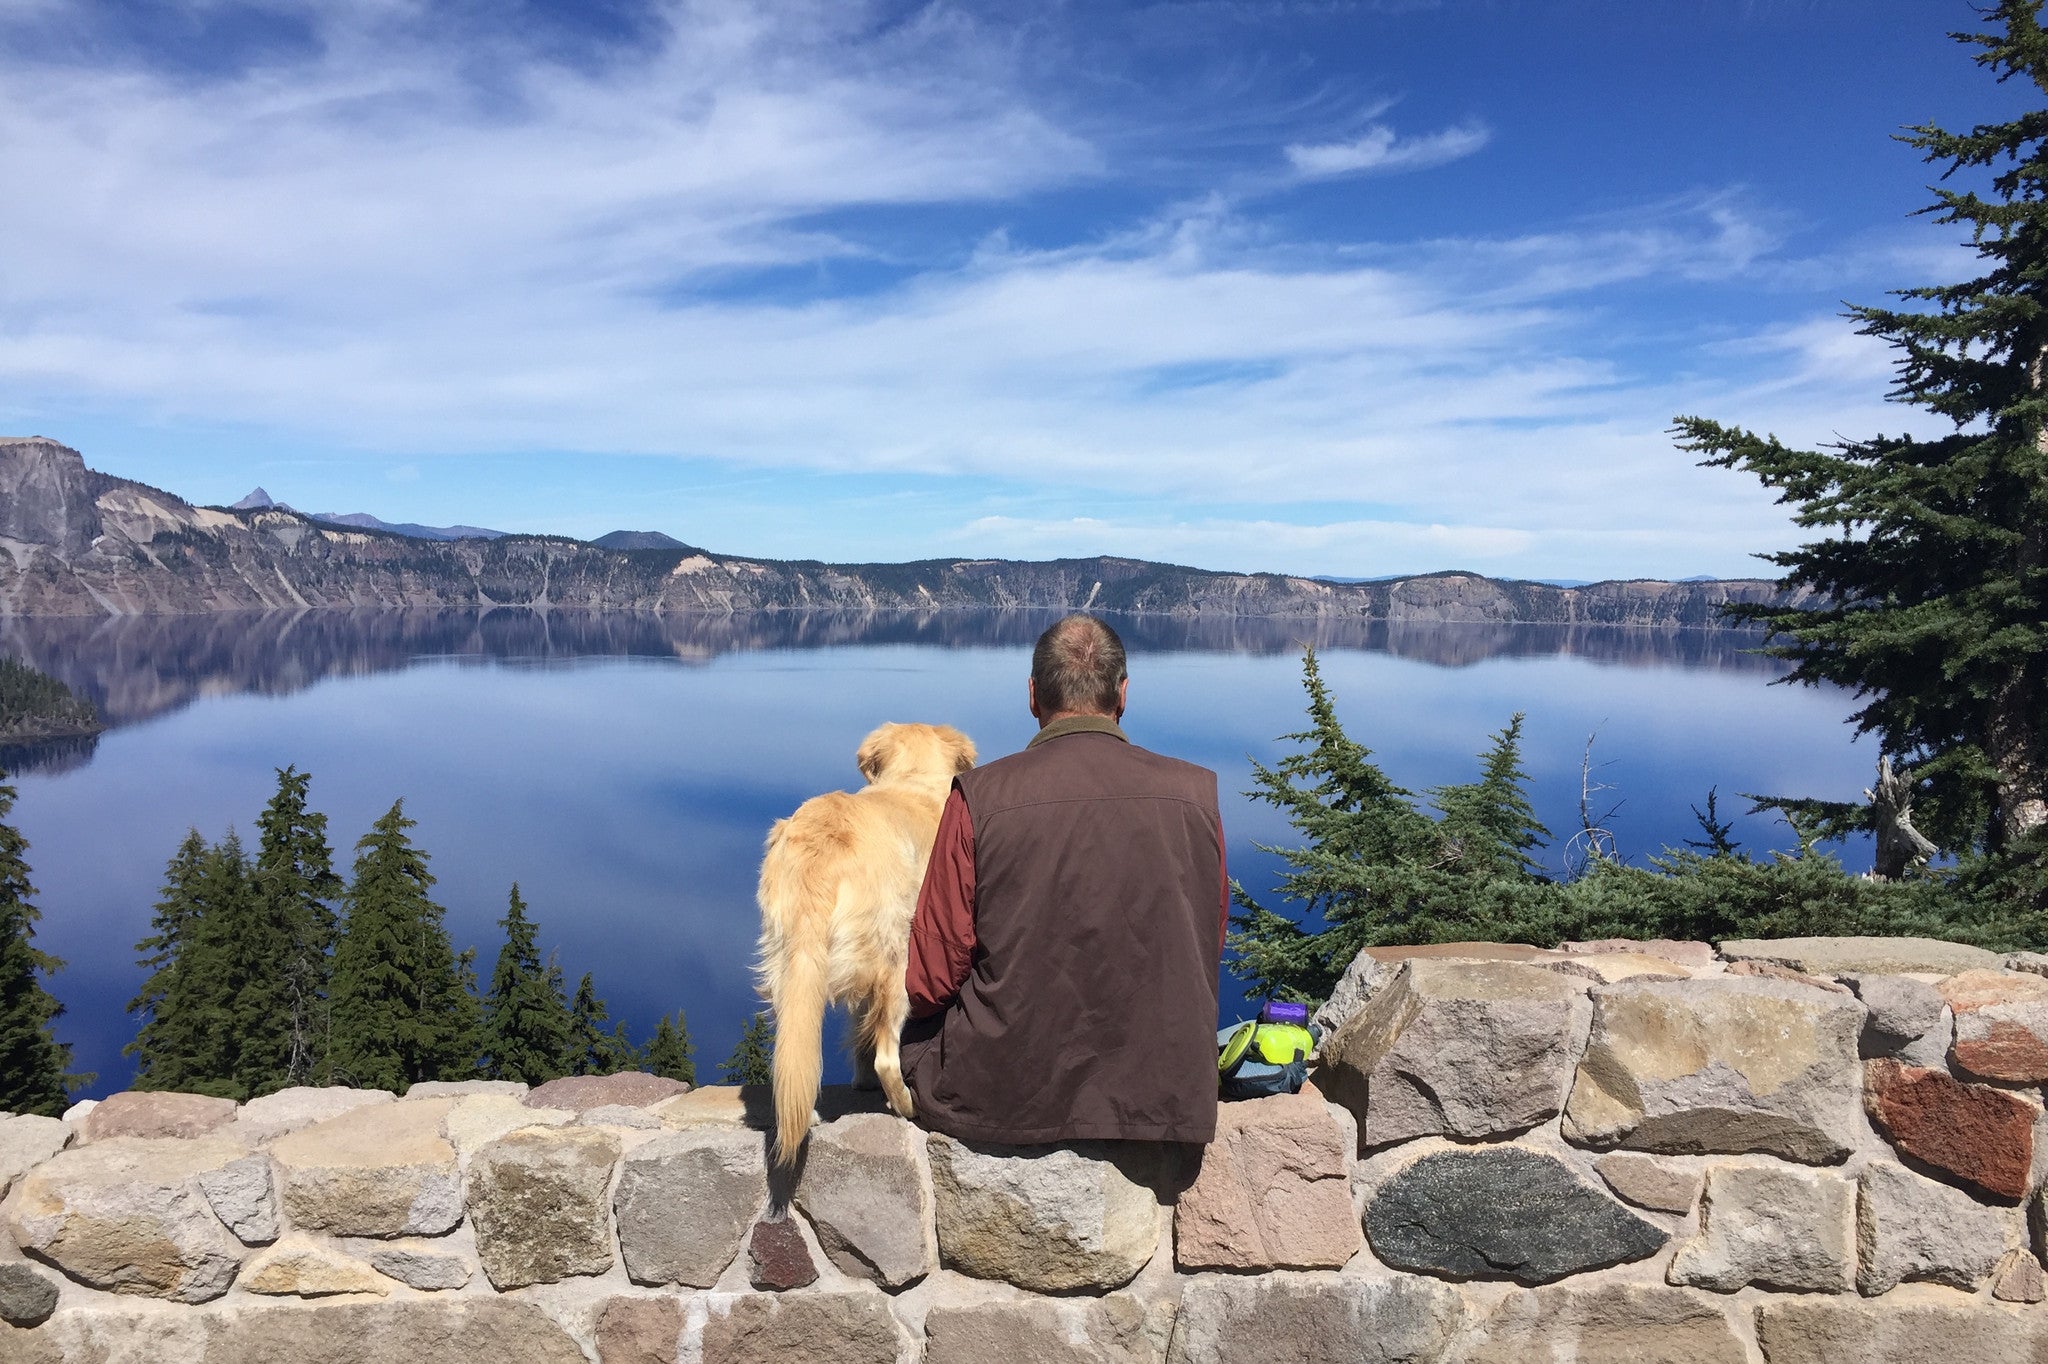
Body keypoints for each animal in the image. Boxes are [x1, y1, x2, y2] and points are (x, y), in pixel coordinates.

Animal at [761, 716, 974, 1163]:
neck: (913, 780)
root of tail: (820, 850)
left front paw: (860, 1083)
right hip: (898, 957)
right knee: (887, 1058)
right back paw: (907, 1104)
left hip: (789, 963)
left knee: (794, 1051)